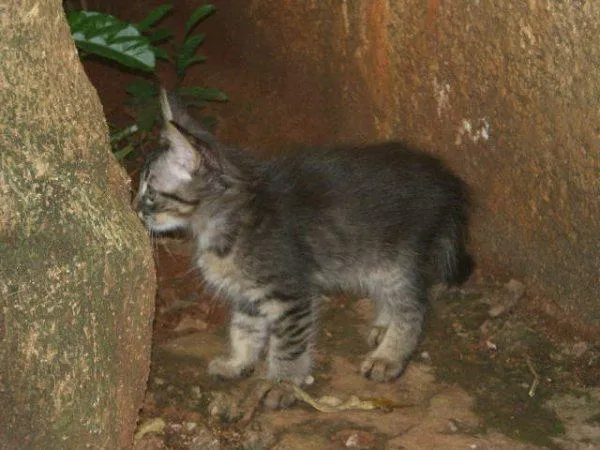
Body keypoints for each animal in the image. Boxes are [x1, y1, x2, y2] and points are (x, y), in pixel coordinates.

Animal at [135, 89, 474, 408]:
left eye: (150, 193)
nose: (135, 209)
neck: (225, 222)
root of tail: (444, 178)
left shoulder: (290, 293)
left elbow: (288, 346)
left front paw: (282, 385)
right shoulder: (246, 295)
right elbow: (243, 330)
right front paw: (238, 362)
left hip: (396, 260)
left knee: (414, 307)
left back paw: (388, 355)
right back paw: (383, 326)